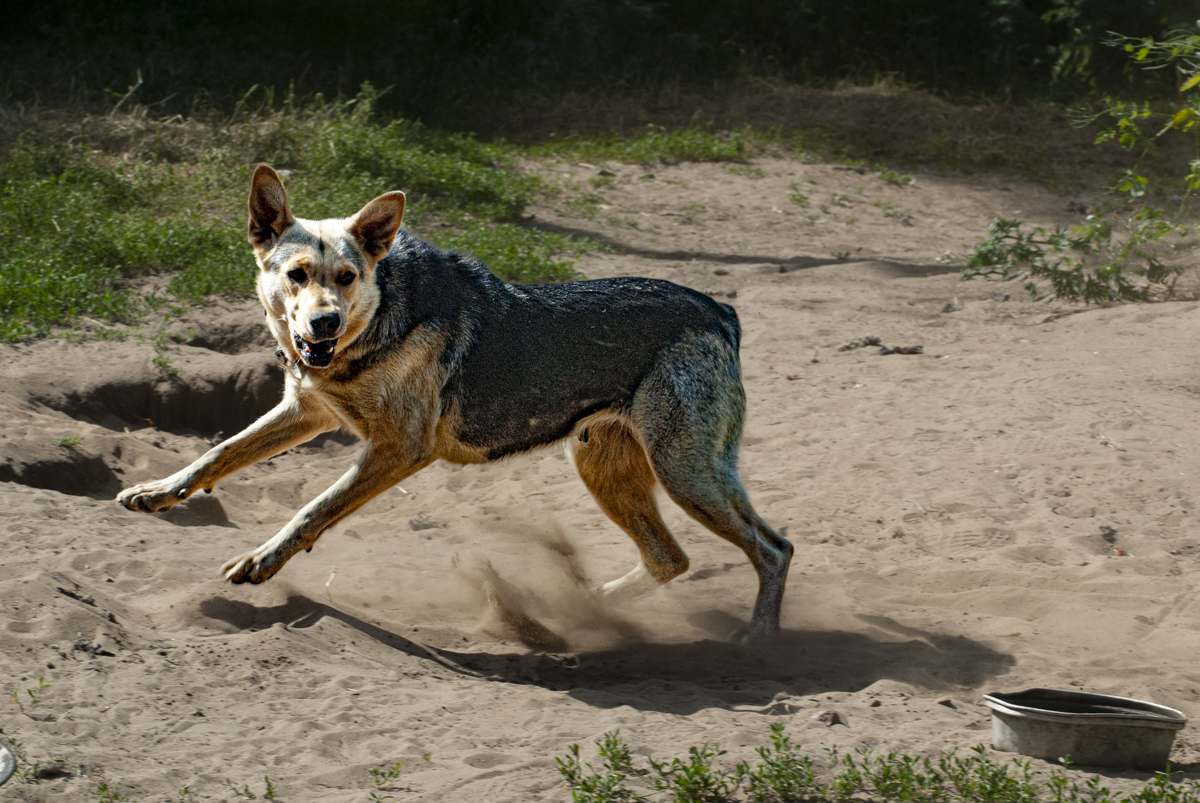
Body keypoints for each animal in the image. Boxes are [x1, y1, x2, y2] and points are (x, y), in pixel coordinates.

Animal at [114, 163, 796, 638]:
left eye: (347, 278)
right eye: (296, 275)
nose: (324, 325)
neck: (378, 322)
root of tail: (719, 311)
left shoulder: (398, 450)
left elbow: (313, 509)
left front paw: (262, 560)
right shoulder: (306, 412)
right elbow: (218, 454)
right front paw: (157, 492)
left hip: (684, 472)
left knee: (773, 549)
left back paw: (755, 643)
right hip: (611, 470)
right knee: (670, 560)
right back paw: (576, 612)